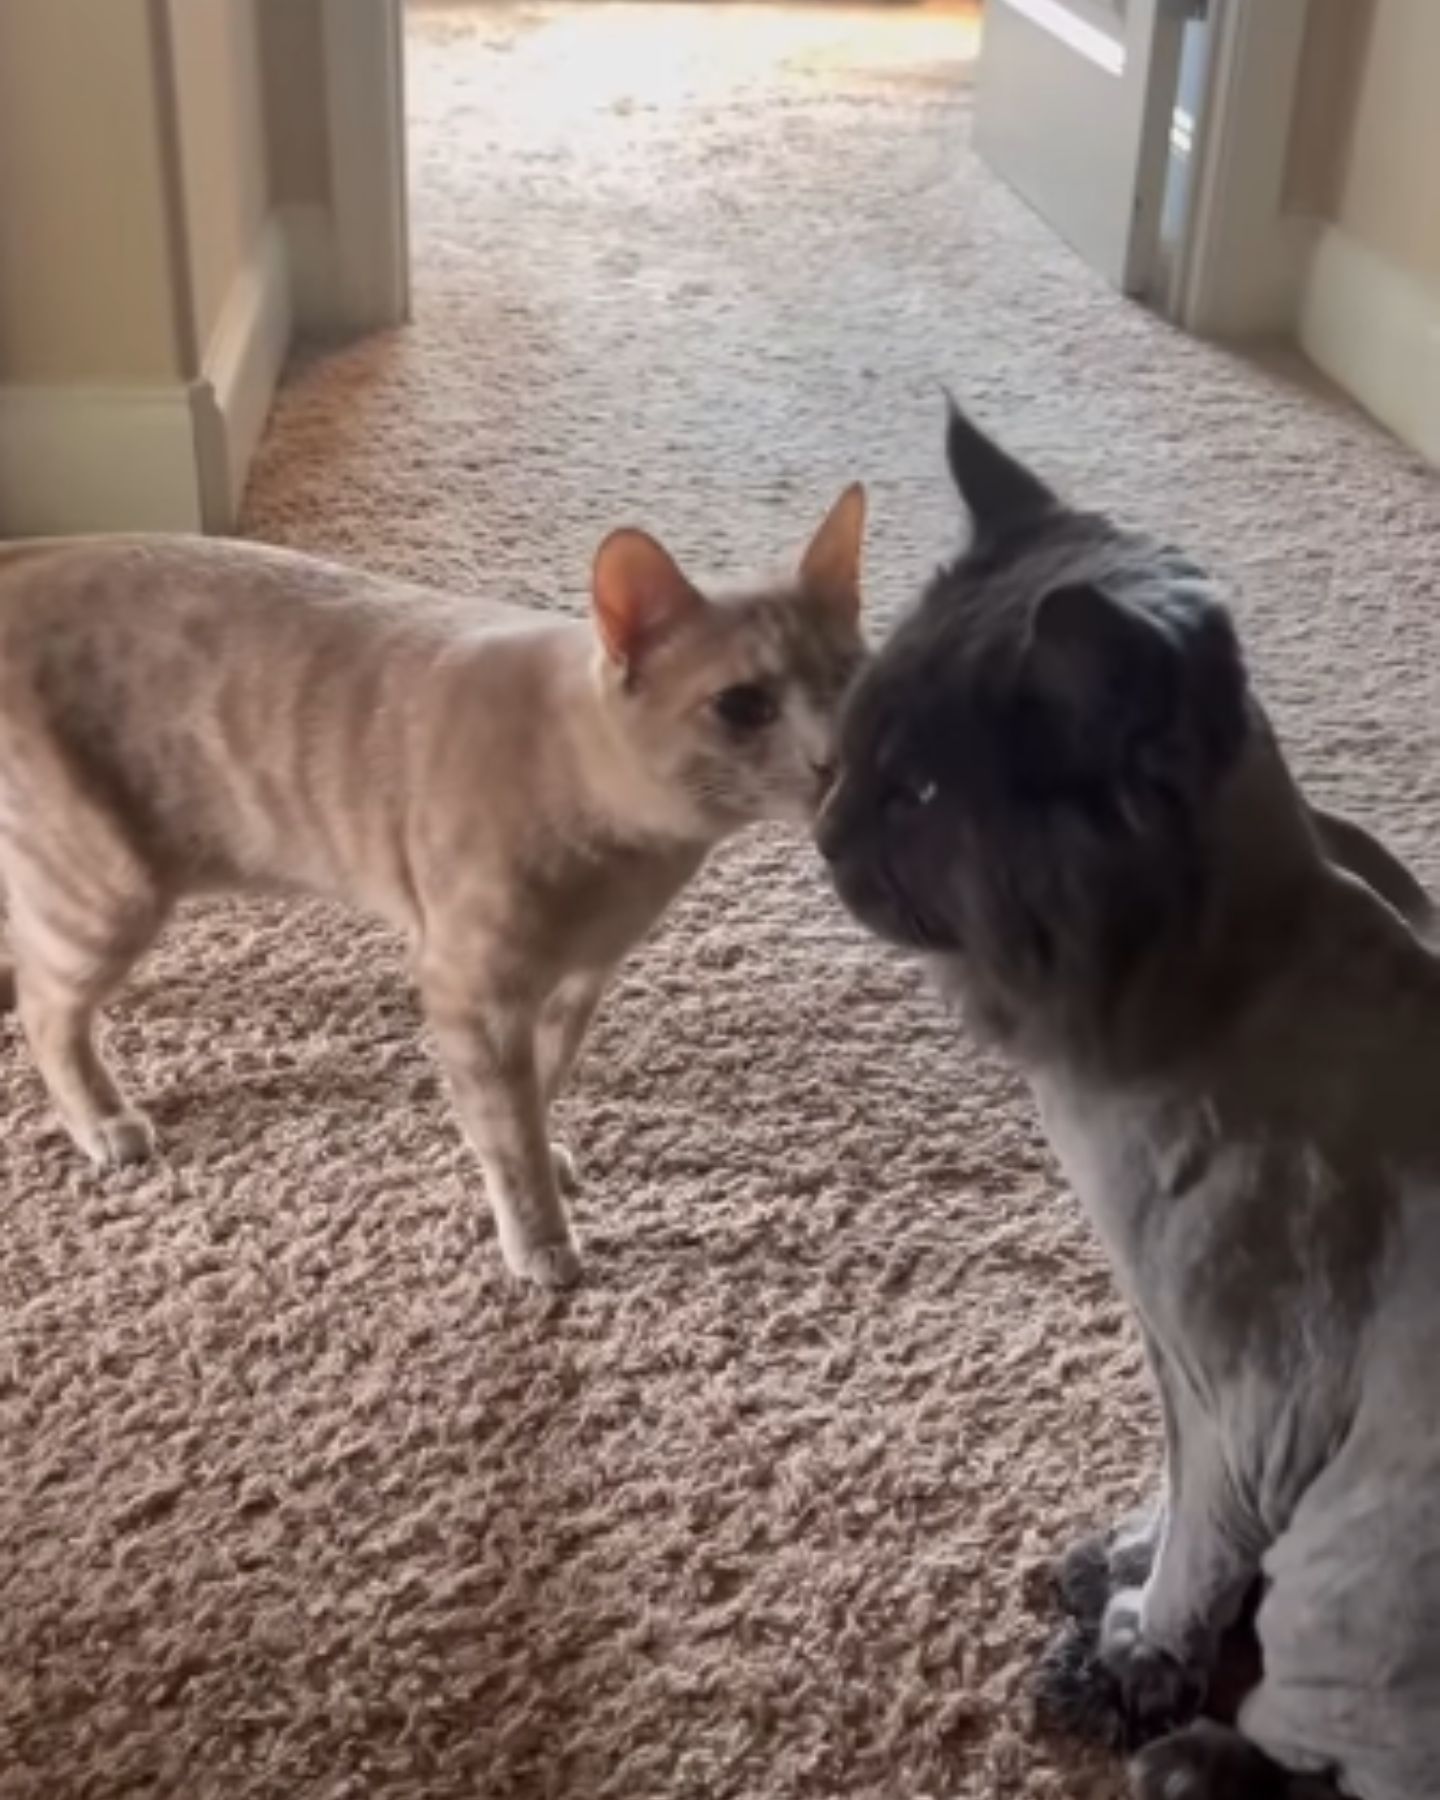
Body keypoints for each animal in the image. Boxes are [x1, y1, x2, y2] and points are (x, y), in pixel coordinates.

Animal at [0, 486, 867, 1288]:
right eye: (743, 705)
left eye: (851, 677)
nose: (836, 759)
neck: (632, 857)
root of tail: (29, 554)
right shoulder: (475, 991)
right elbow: (508, 1129)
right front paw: (539, 1234)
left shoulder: (574, 986)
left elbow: (538, 1088)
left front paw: (538, 1160)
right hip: (107, 894)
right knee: (48, 1012)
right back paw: (103, 1120)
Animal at [820, 408, 1440, 1800]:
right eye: (850, 745)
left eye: (919, 795)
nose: (820, 825)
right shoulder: (1174, 1367)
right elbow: (1169, 1503)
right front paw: (1113, 1573)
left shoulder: (1253, 1412)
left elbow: (1200, 1565)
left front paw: (1128, 1660)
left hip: (1354, 1574)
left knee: (1322, 1759)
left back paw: (1169, 1749)